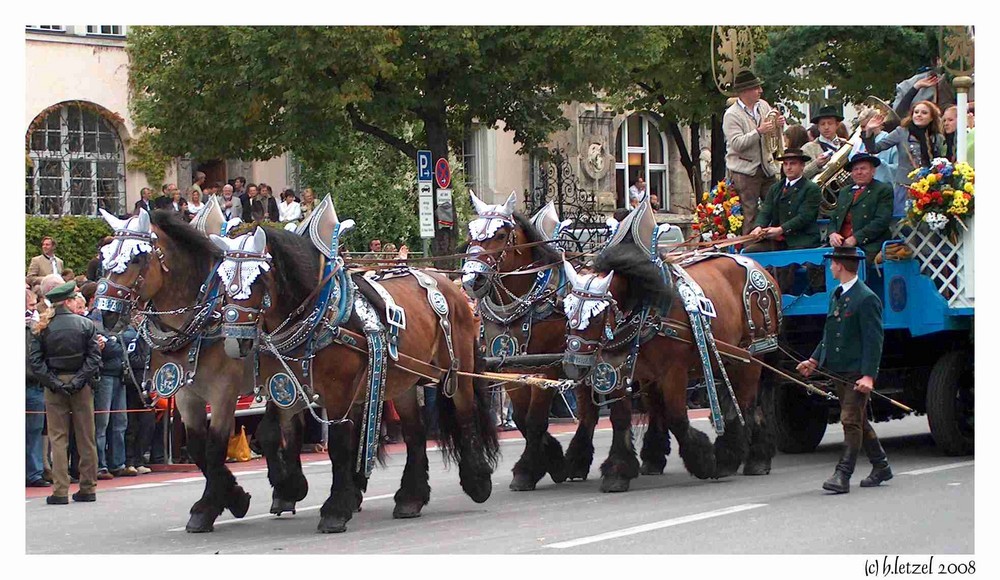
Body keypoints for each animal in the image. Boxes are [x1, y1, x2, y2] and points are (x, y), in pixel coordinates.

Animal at [96, 211, 262, 532]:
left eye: (136, 259)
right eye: (105, 257)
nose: (106, 313)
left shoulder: (224, 392)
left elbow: (214, 447)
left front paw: (212, 507)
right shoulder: (186, 392)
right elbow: (198, 447)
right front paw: (228, 498)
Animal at [218, 227, 500, 536]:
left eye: (256, 278)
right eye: (222, 280)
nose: (234, 342)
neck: (320, 314)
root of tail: (448, 285)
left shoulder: (338, 392)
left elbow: (339, 445)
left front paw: (335, 510)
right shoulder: (286, 387)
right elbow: (268, 432)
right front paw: (289, 486)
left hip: (457, 371)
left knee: (465, 416)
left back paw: (477, 481)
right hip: (401, 381)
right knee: (415, 433)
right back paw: (411, 497)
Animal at [462, 211, 668, 492]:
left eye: (501, 235)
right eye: (470, 234)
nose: (472, 280)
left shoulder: (545, 368)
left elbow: (535, 419)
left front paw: (529, 470)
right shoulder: (510, 369)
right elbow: (522, 418)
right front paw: (551, 459)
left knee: (646, 403)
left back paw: (647, 458)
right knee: (592, 412)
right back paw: (580, 460)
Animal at [568, 239, 776, 480]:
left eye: (595, 316)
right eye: (567, 312)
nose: (574, 367)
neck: (646, 308)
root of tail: (760, 269)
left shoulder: (673, 372)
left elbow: (676, 416)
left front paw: (703, 461)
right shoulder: (618, 369)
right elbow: (621, 418)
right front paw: (618, 470)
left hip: (753, 353)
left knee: (746, 404)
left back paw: (745, 458)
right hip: (725, 359)